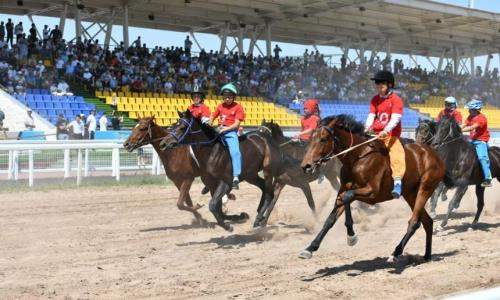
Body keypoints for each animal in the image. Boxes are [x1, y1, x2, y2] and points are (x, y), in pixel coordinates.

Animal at [298, 115, 444, 262]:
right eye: (310, 139)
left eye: (323, 139)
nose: (306, 166)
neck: (358, 157)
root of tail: (432, 153)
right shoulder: (343, 191)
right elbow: (331, 218)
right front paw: (310, 248)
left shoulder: (373, 193)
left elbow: (348, 197)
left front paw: (351, 236)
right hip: (410, 194)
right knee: (427, 221)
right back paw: (427, 255)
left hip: (425, 189)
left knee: (414, 222)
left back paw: (396, 252)